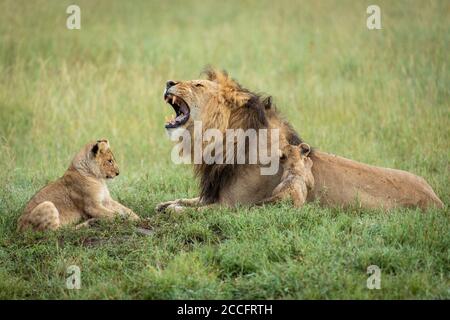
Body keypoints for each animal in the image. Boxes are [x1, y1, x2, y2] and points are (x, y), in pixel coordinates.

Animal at [156, 69, 444, 211]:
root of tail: (437, 201)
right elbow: (187, 200)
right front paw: (166, 203)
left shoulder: (232, 206)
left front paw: (174, 210)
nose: (169, 81)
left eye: (198, 85)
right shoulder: (213, 195)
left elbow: (191, 212)